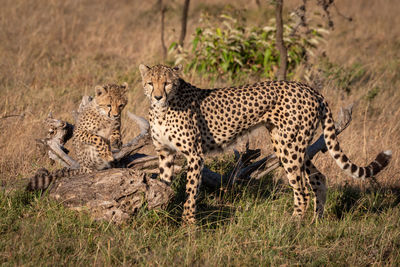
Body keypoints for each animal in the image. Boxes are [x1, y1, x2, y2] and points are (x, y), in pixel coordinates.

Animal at [138, 64, 390, 224]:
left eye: (167, 83)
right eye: (150, 83)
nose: (158, 96)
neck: (163, 109)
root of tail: (309, 88)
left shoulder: (194, 154)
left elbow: (191, 192)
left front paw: (188, 226)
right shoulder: (165, 153)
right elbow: (163, 184)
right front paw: (160, 216)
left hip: (289, 147)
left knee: (301, 189)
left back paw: (294, 225)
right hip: (289, 144)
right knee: (318, 178)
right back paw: (316, 222)